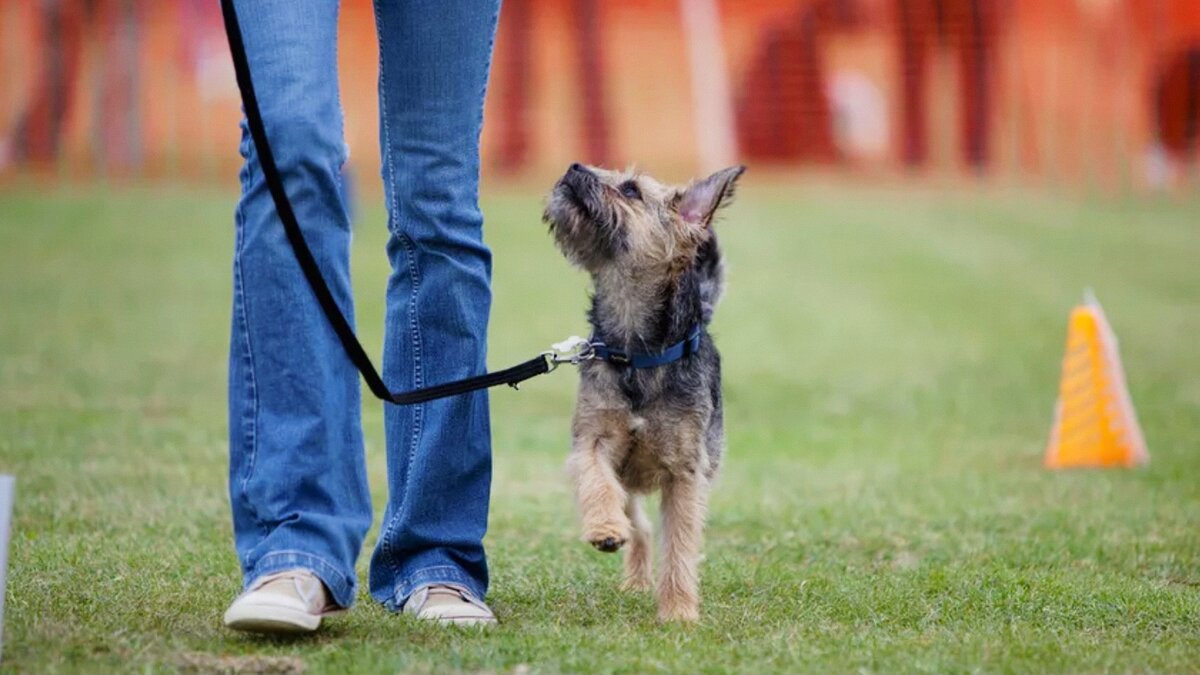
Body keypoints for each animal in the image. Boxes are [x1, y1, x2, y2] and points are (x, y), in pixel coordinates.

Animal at [542, 158, 739, 619]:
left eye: (631, 190)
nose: (574, 166)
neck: (635, 352)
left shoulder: (685, 473)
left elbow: (681, 546)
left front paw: (679, 613)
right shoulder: (594, 440)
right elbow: (597, 481)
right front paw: (604, 527)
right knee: (640, 524)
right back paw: (631, 574)